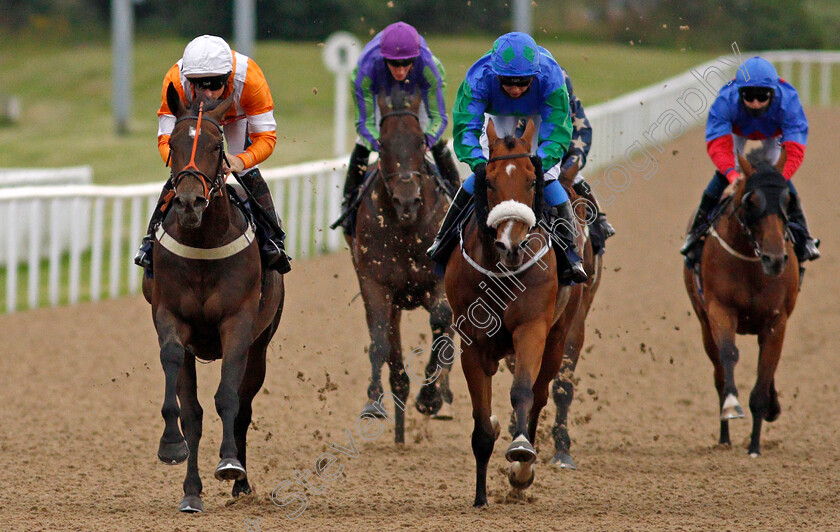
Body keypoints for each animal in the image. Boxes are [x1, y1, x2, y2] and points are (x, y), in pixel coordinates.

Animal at [144, 83, 286, 512]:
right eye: (174, 142)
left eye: (215, 143)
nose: (189, 202)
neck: (204, 241)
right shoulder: (170, 317)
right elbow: (185, 400)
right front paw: (172, 448)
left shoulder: (238, 325)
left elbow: (229, 399)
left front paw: (229, 464)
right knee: (194, 411)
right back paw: (192, 491)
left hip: (261, 344)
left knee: (243, 405)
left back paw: (241, 482)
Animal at [346, 88, 456, 444]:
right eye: (381, 144)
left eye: (421, 142)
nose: (406, 201)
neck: (407, 227)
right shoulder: (376, 284)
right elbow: (380, 338)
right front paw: (374, 401)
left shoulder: (439, 282)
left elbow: (441, 322)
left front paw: (431, 396)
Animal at [446, 118, 584, 504]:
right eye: (489, 181)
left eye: (531, 180)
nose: (511, 244)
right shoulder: (472, 342)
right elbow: (481, 422)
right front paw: (480, 497)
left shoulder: (532, 327)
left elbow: (523, 390)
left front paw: (521, 453)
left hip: (559, 336)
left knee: (539, 394)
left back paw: (523, 472)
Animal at [684, 151, 800, 458]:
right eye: (751, 201)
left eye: (787, 200)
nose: (775, 259)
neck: (751, 260)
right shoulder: (719, 310)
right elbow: (728, 356)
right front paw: (731, 405)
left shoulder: (777, 321)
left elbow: (764, 375)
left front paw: (755, 445)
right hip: (704, 324)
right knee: (718, 373)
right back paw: (724, 438)